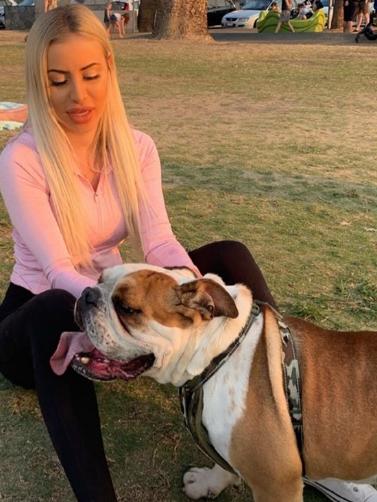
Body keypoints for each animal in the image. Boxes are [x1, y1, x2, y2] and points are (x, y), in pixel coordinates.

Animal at [72, 264, 376, 500]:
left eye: (126, 308)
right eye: (99, 278)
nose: (86, 294)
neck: (218, 352)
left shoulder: (277, 486)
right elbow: (223, 465)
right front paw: (208, 484)